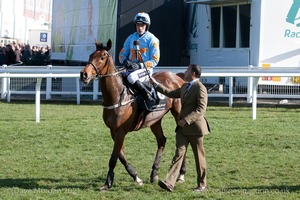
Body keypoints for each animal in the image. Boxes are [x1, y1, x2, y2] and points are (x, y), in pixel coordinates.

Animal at [80, 39, 185, 191]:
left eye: (102, 57)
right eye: (90, 55)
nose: (84, 74)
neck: (118, 96)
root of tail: (177, 77)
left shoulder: (120, 131)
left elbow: (113, 158)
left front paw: (107, 183)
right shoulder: (114, 131)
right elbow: (121, 156)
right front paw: (136, 176)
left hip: (179, 114)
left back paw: (181, 174)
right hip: (155, 120)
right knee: (161, 140)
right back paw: (154, 173)